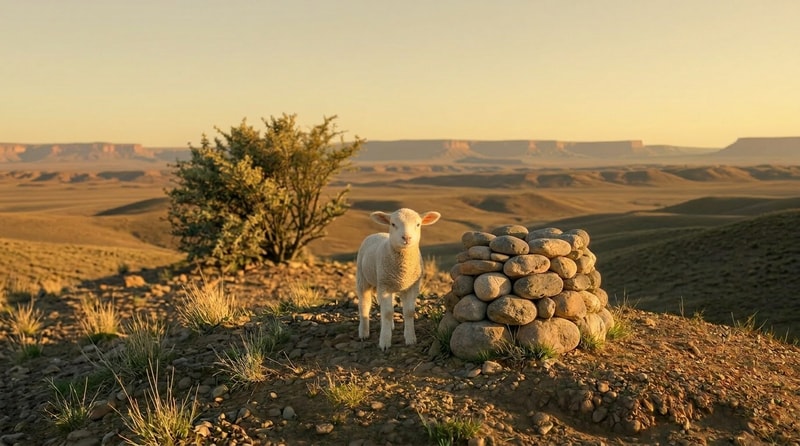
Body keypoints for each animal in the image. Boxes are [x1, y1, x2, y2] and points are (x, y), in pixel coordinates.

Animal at [356, 208, 441, 350]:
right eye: (393, 224)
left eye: (418, 224)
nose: (406, 238)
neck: (402, 271)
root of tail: (377, 233)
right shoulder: (384, 286)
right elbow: (386, 313)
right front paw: (384, 342)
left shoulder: (411, 286)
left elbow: (409, 312)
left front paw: (410, 338)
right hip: (363, 278)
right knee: (364, 304)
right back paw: (363, 332)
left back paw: (390, 326)